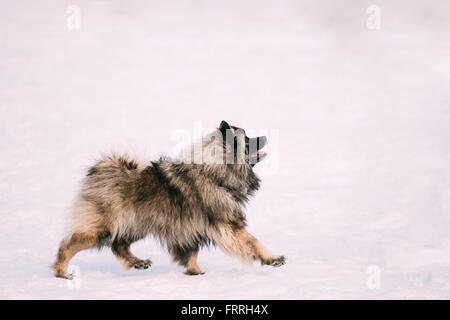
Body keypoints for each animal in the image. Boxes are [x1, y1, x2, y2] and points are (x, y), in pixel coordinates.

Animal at [51, 120, 284, 278]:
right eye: (248, 140)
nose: (265, 136)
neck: (213, 172)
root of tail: (104, 169)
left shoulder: (190, 229)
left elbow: (191, 254)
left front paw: (195, 273)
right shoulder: (227, 225)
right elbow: (252, 242)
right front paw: (272, 258)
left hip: (135, 224)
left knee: (118, 245)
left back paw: (138, 262)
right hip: (104, 227)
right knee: (69, 244)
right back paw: (62, 272)